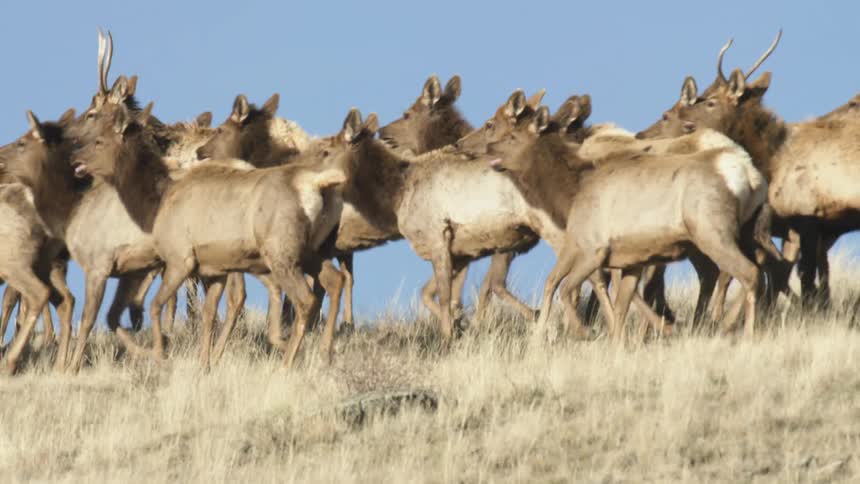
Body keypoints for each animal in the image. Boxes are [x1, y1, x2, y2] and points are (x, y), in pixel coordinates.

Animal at [72, 103, 365, 369]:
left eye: (99, 140)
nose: (76, 161)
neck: (155, 204)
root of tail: (319, 184)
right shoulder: (214, 270)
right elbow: (208, 316)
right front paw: (204, 364)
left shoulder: (180, 258)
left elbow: (157, 306)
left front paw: (162, 353)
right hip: (311, 250)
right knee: (335, 280)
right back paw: (325, 352)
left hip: (282, 252)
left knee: (306, 299)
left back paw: (288, 362)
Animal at [486, 98, 767, 341]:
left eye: (512, 136)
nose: (489, 148)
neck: (570, 194)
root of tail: (749, 175)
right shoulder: (632, 258)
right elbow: (622, 304)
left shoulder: (593, 248)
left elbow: (567, 287)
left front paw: (584, 332)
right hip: (744, 232)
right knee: (757, 266)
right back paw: (721, 325)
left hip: (710, 232)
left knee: (745, 273)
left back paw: (740, 333)